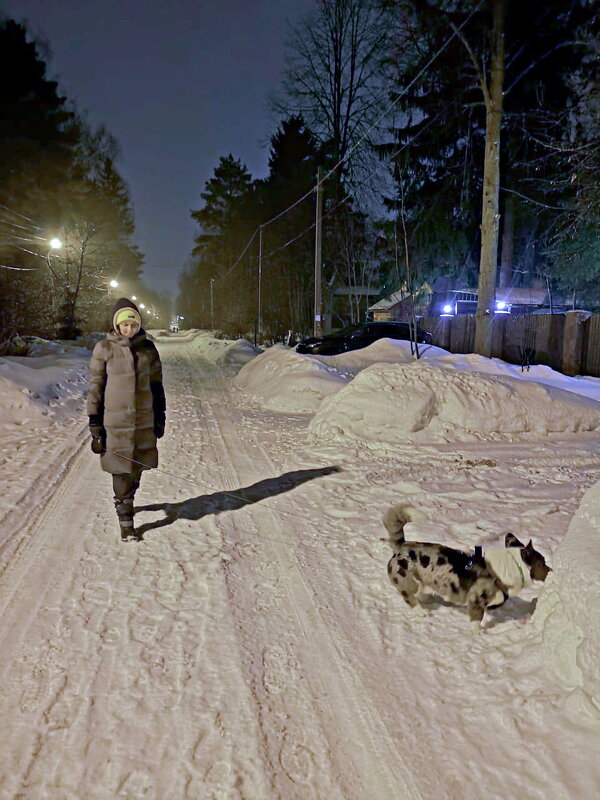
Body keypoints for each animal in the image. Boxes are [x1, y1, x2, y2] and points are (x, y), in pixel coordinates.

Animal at [382, 506, 552, 632]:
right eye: (543, 562)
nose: (552, 570)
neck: (512, 564)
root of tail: (401, 546)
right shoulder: (477, 601)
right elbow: (477, 620)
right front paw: (479, 634)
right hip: (407, 579)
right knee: (409, 597)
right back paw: (421, 612)